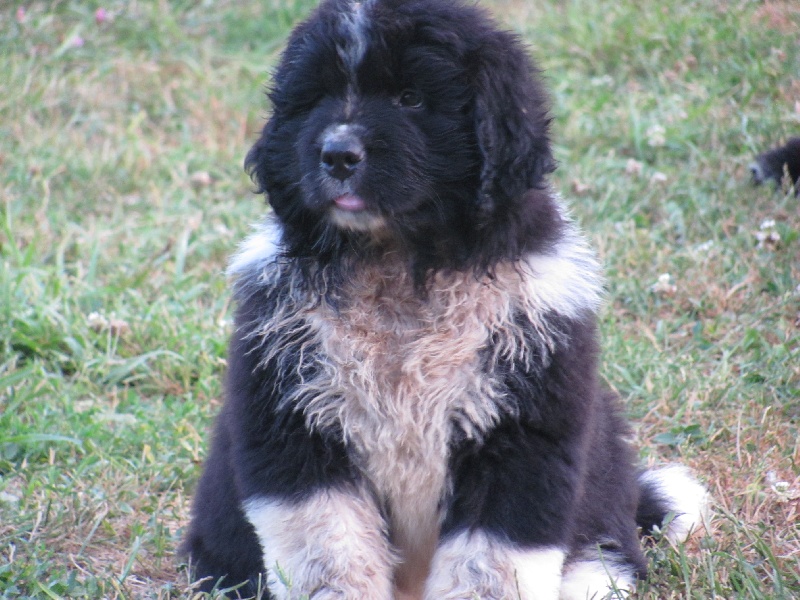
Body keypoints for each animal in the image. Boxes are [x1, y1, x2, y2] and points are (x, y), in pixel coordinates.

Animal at [183, 1, 708, 600]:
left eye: (411, 99)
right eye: (316, 99)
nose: (337, 154)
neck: (400, 267)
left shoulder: (523, 433)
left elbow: (490, 565)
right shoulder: (294, 423)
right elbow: (332, 555)